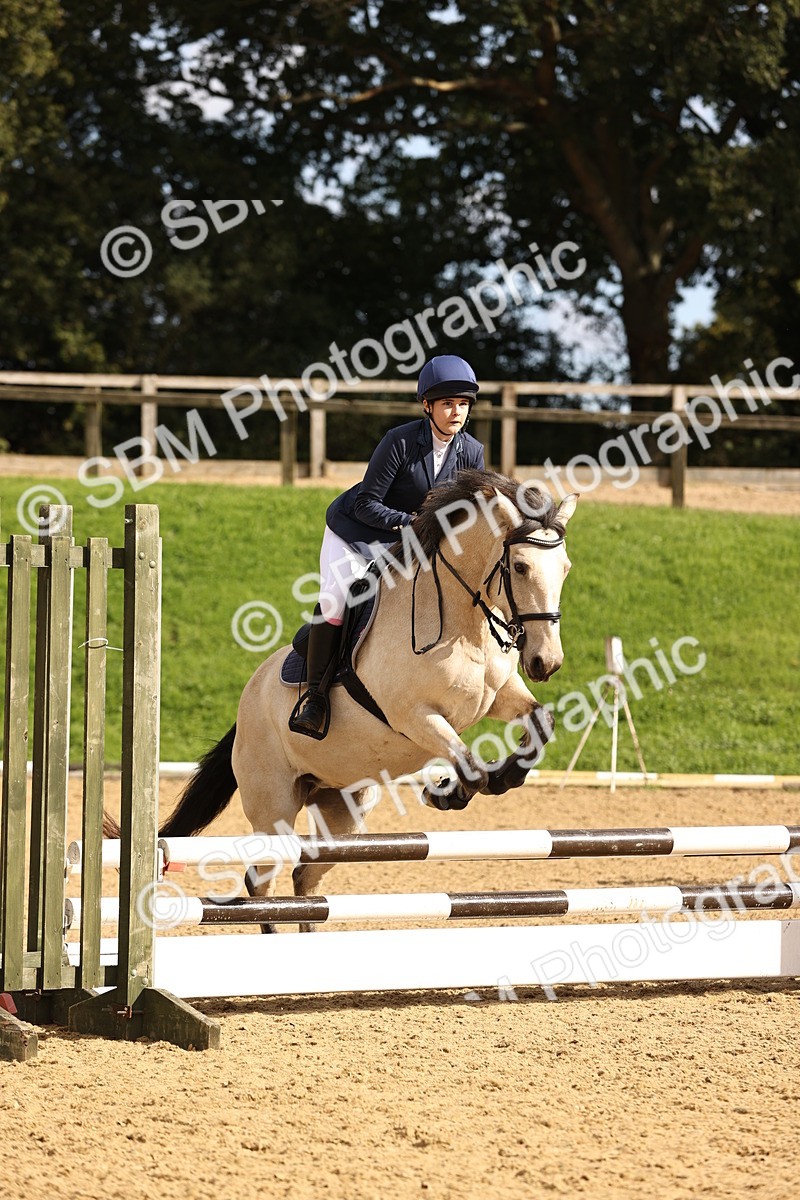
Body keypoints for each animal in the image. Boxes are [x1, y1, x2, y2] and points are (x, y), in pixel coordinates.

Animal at [159, 469, 577, 927]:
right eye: (519, 566)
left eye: (565, 569)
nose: (546, 662)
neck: (463, 624)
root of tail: (247, 701)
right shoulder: (415, 717)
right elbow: (469, 767)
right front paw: (444, 793)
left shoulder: (499, 696)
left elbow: (540, 723)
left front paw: (505, 777)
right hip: (274, 807)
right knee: (260, 881)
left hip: (344, 811)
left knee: (306, 876)